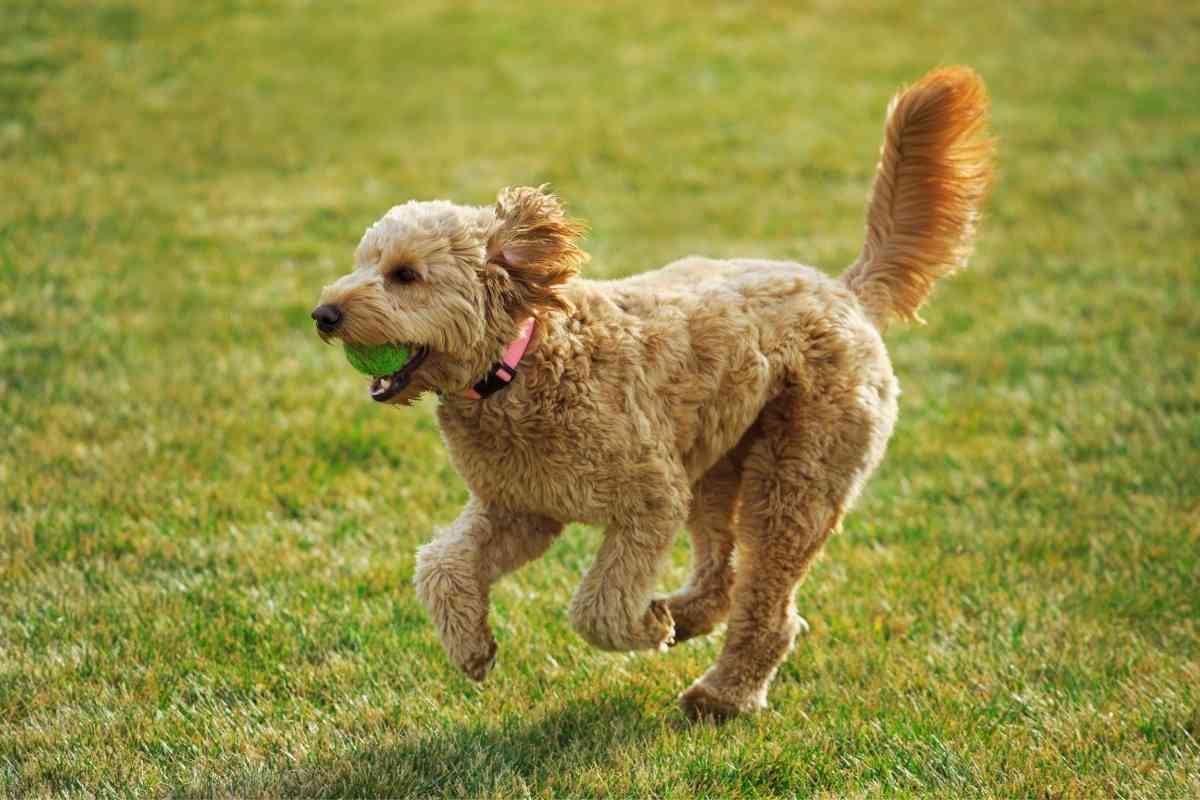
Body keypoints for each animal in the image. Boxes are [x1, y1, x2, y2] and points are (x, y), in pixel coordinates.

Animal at [312, 67, 993, 719]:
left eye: (405, 275)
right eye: (363, 262)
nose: (323, 314)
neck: (522, 362)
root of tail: (846, 291)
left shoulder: (648, 502)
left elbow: (599, 606)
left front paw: (642, 628)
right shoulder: (521, 508)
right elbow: (440, 565)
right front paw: (473, 648)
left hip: (797, 477)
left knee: (770, 608)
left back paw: (721, 695)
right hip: (717, 466)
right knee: (722, 581)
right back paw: (684, 618)